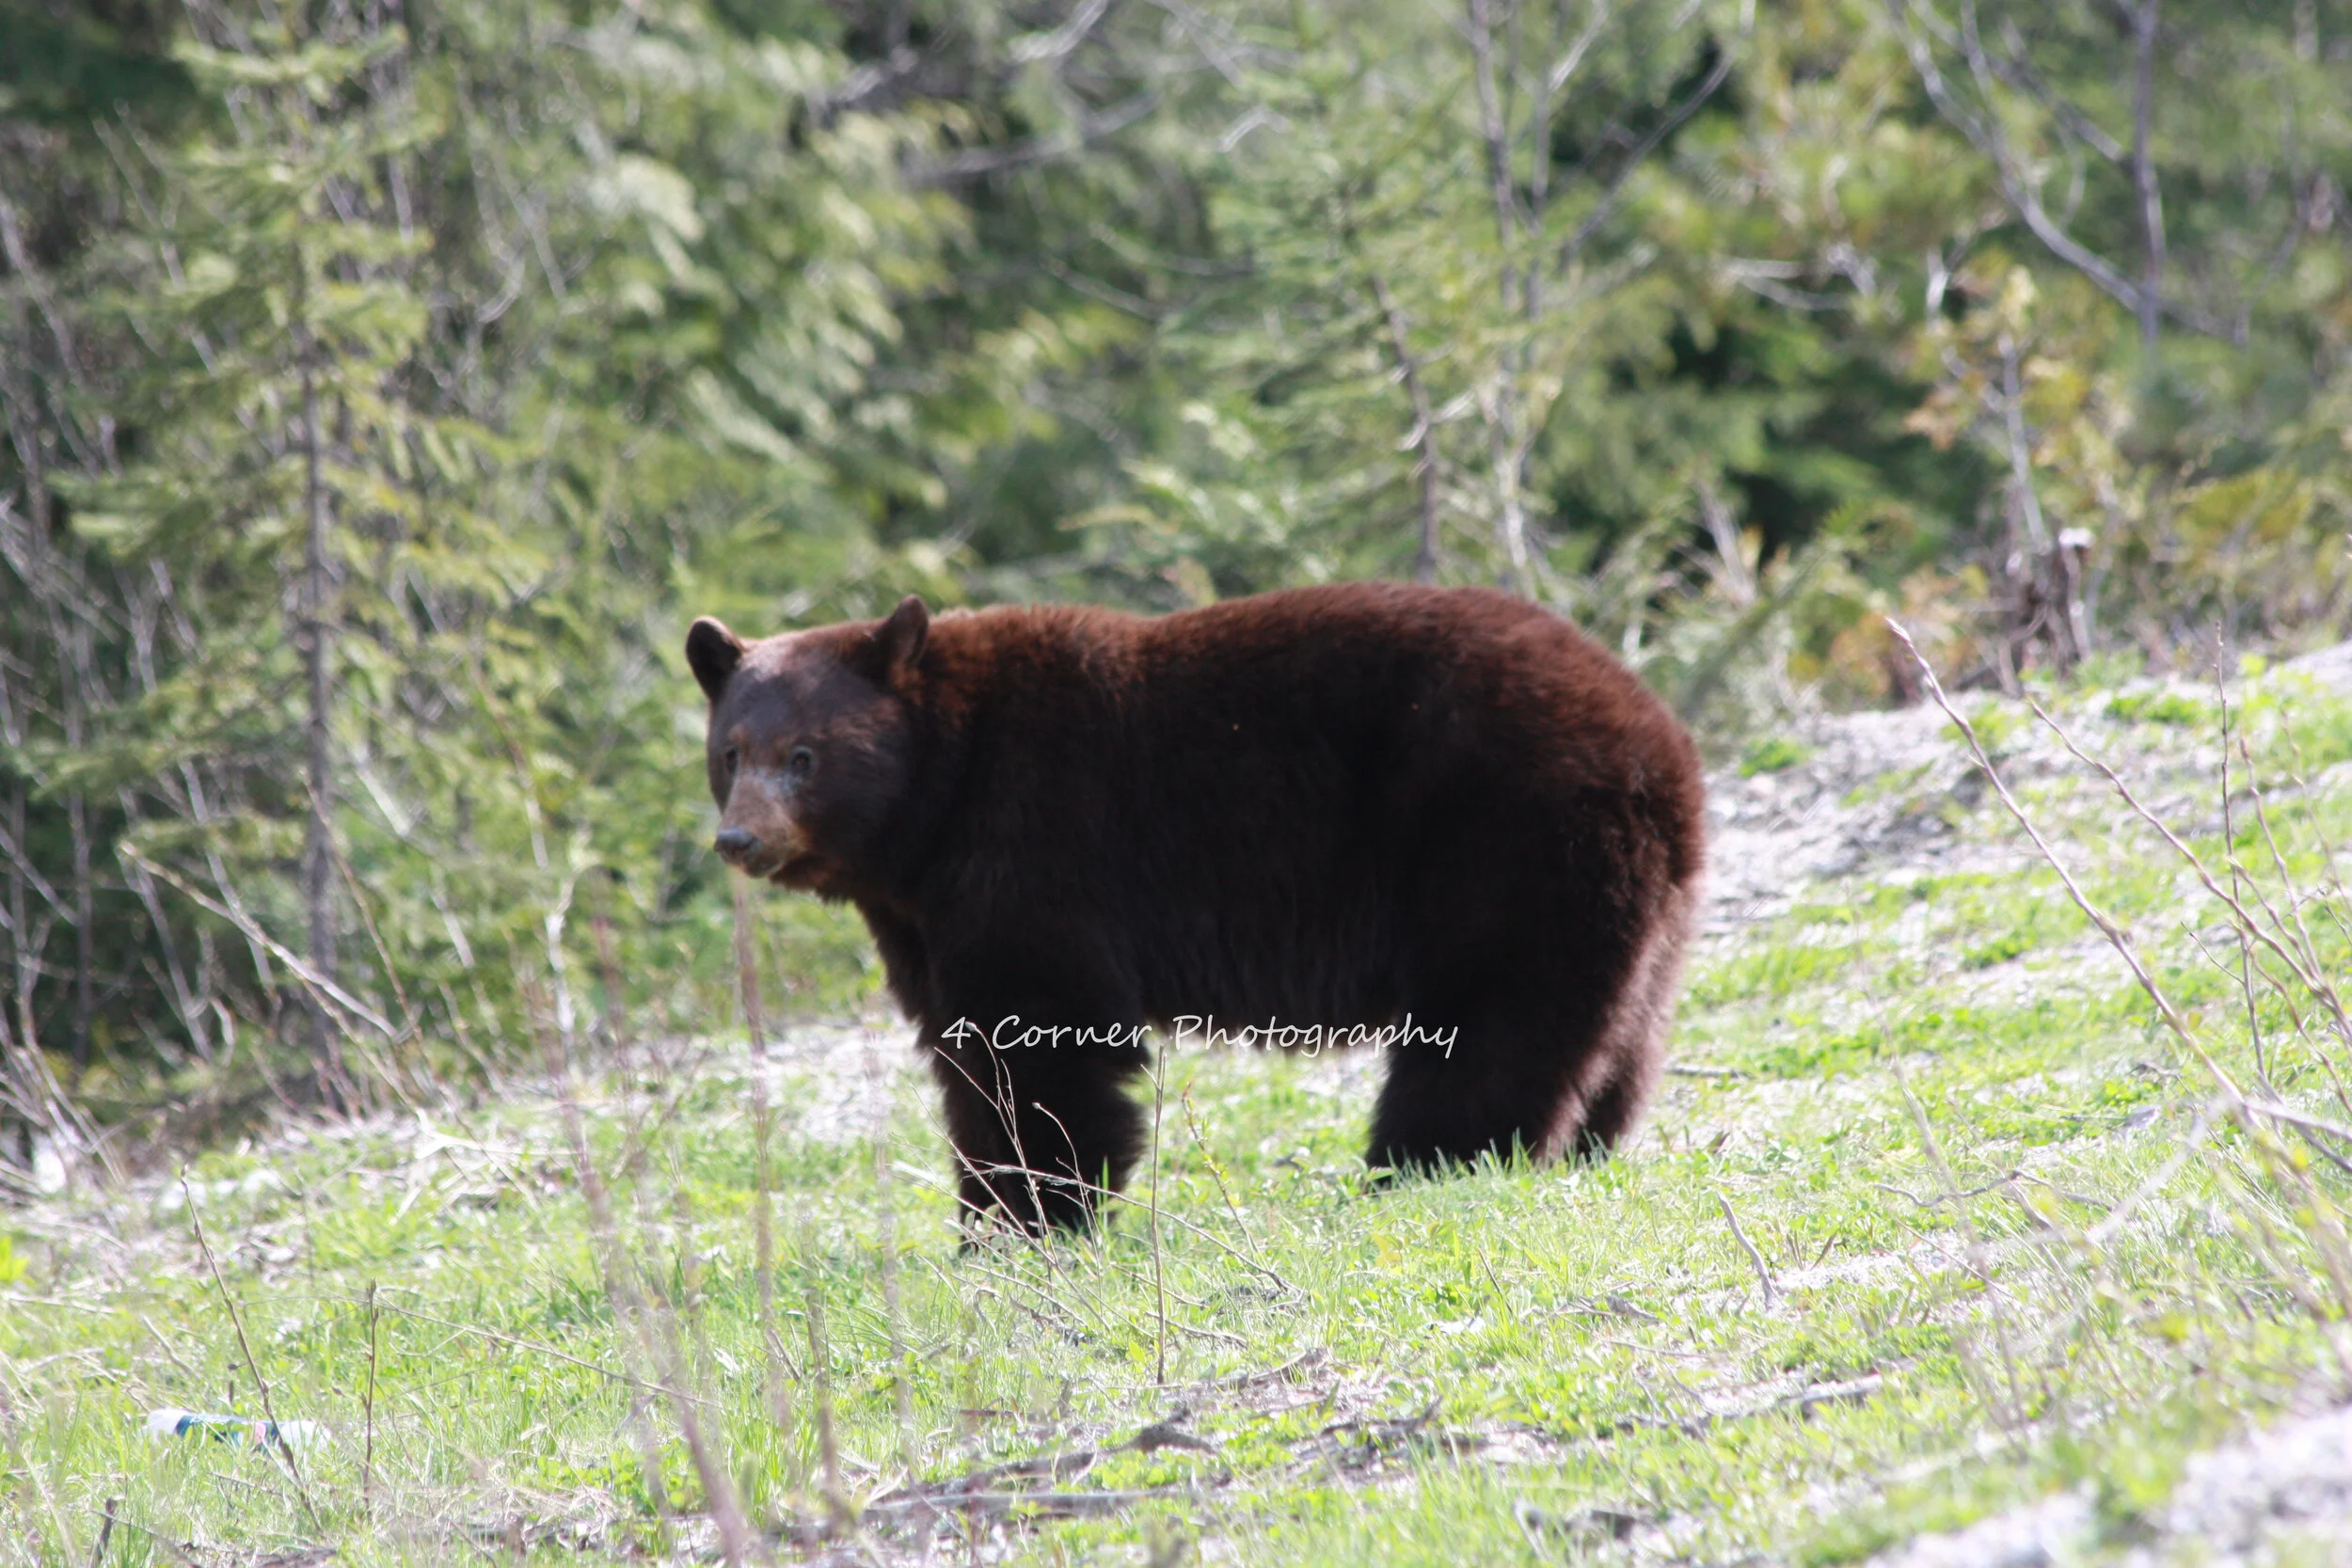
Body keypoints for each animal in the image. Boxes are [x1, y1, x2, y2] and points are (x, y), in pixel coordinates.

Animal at [686, 582, 1705, 1232]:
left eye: (804, 755)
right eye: (730, 751)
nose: (740, 839)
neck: (939, 790)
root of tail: (1658, 744)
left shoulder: (1033, 842)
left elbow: (1038, 1035)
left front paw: (1030, 1213)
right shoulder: (919, 912)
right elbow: (961, 1046)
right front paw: (990, 1212)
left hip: (1499, 839)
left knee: (1491, 1022)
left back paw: (1420, 1164)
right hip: (1633, 899)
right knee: (1621, 1030)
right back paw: (1586, 1143)